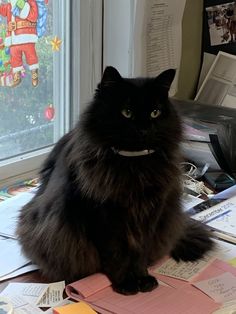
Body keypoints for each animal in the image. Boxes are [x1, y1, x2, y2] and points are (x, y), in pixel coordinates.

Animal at [17, 65, 214, 294]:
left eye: (155, 112)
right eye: (126, 112)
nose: (143, 129)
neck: (134, 164)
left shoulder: (152, 212)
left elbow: (140, 251)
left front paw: (142, 278)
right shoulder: (102, 214)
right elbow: (115, 254)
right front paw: (125, 282)